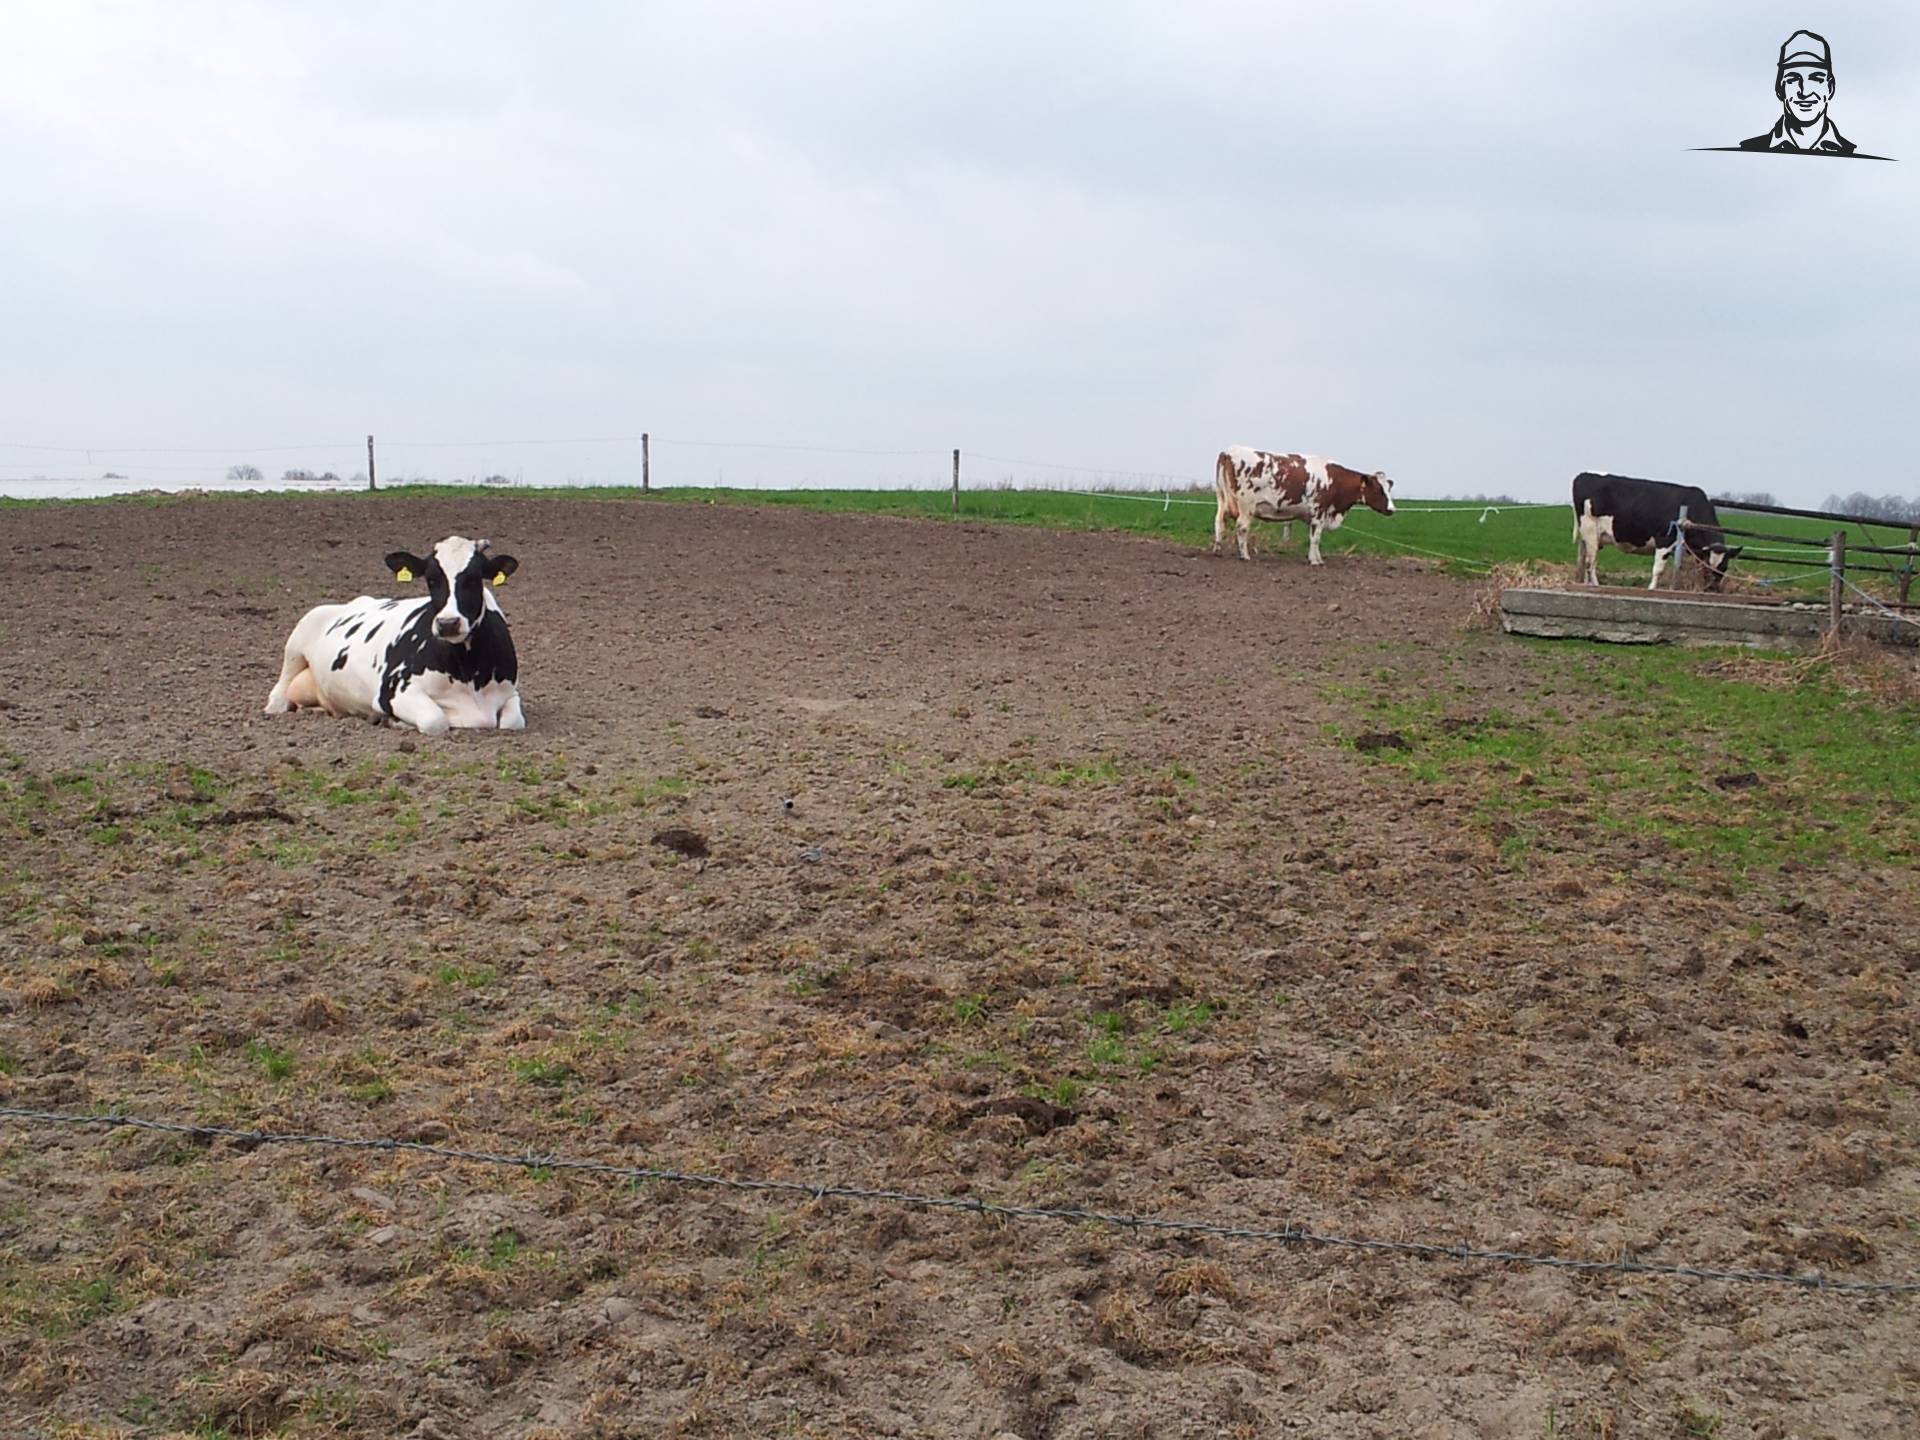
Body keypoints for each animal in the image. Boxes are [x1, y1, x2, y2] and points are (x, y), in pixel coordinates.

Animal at [264, 535, 524, 736]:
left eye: (474, 579)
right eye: (431, 580)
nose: (448, 623)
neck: (468, 671)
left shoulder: (510, 693)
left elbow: (513, 723)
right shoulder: (393, 692)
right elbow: (435, 720)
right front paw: (395, 722)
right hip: (298, 639)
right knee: (281, 688)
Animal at [1211, 447, 1394, 566]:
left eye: (1389, 488)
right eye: (1379, 490)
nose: (1392, 510)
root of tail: (1229, 451)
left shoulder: (1314, 517)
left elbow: (1314, 538)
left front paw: (1317, 558)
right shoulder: (1319, 512)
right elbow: (1316, 538)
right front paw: (1314, 561)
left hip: (1222, 498)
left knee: (1219, 522)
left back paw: (1217, 550)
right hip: (1246, 506)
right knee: (1242, 527)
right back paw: (1245, 555)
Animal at [1571, 472, 1741, 590]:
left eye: (1724, 567)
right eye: (1708, 566)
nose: (1712, 588)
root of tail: (1582, 474)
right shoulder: (1664, 540)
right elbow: (1658, 569)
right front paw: (1651, 589)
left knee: (1586, 560)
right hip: (1590, 531)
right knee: (1590, 562)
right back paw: (1595, 585)